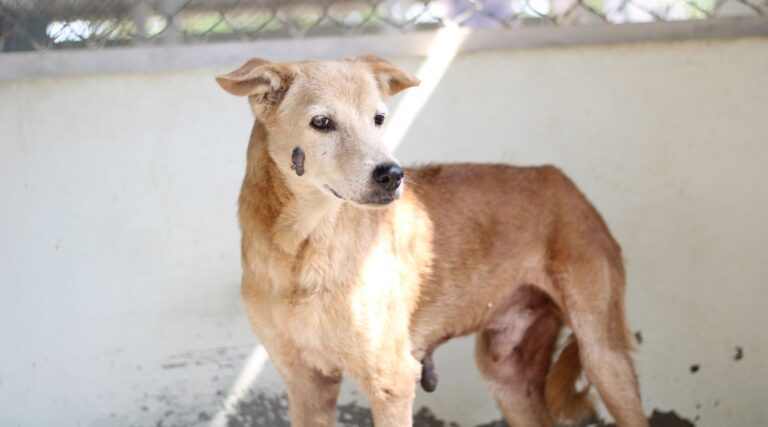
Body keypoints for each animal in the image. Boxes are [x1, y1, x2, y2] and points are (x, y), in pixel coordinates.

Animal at [216, 56, 648, 427]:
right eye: (321, 121)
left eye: (379, 119)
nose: (393, 174)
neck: (299, 246)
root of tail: (564, 182)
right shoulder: (306, 385)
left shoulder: (392, 381)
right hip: (508, 376)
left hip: (603, 354)